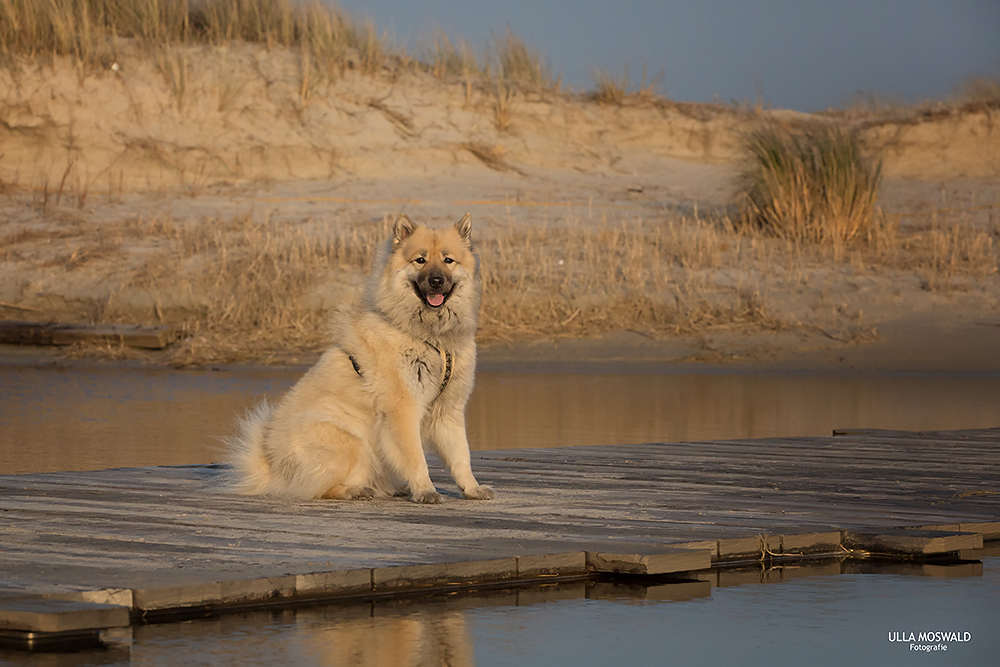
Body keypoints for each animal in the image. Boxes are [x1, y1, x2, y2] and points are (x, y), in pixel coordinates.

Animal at [225, 217, 494, 504]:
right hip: (350, 441)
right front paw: (425, 490)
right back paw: (356, 490)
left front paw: (472, 488)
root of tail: (273, 467)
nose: (435, 281)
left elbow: (461, 456)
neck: (430, 338)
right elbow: (416, 458)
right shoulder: (403, 410)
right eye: (420, 260)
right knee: (320, 488)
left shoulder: (449, 409)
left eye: (448, 260)